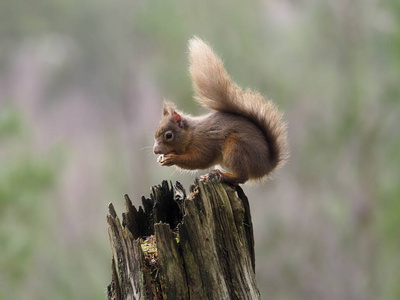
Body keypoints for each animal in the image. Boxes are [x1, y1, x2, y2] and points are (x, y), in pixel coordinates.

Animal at [153, 38, 288, 185]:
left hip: (235, 148)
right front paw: (161, 158)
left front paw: (172, 159)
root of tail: (265, 166)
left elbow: (199, 160)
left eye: (169, 135)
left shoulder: (204, 143)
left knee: (242, 177)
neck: (192, 134)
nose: (155, 151)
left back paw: (222, 175)